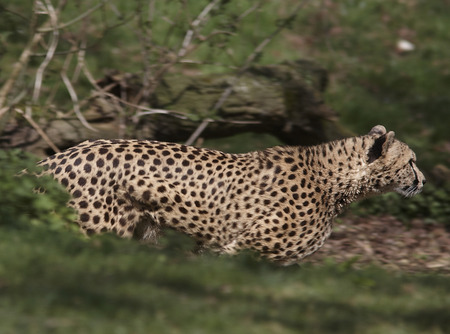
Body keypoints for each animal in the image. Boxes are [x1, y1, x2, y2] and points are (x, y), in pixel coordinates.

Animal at [38, 124, 426, 264]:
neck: (333, 180)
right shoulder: (244, 249)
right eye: (411, 161)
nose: (422, 180)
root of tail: (56, 157)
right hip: (98, 232)